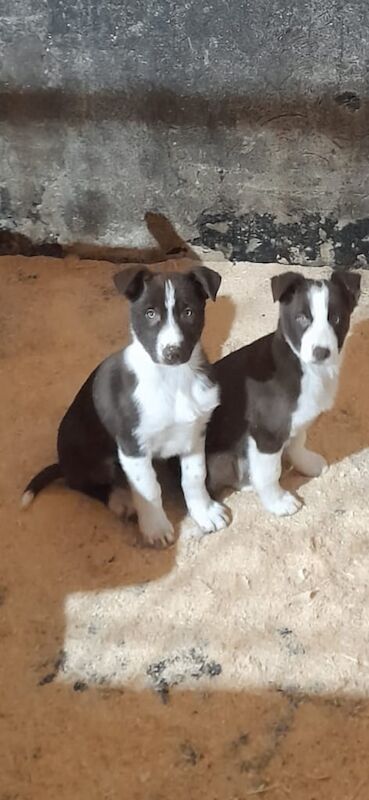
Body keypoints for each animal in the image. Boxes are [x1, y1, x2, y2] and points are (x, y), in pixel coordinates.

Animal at [21, 266, 230, 548]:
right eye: (150, 313)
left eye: (189, 312)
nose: (172, 353)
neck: (173, 380)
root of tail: (63, 463)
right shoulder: (132, 447)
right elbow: (149, 489)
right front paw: (155, 527)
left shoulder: (194, 433)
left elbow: (194, 476)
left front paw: (204, 512)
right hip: (91, 456)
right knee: (84, 484)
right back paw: (121, 500)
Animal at [206, 272, 360, 516]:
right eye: (302, 318)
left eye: (336, 319)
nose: (321, 352)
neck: (303, 367)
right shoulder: (266, 432)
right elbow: (270, 472)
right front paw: (278, 502)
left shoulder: (297, 419)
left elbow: (298, 443)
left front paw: (307, 463)